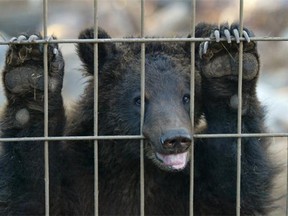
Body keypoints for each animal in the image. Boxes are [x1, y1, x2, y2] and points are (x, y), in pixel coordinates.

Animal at [0, 22, 278, 215]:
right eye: (139, 99)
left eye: (186, 96)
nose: (175, 139)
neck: (137, 168)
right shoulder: (79, 179)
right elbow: (29, 192)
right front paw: (31, 67)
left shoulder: (189, 187)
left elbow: (235, 187)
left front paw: (228, 56)